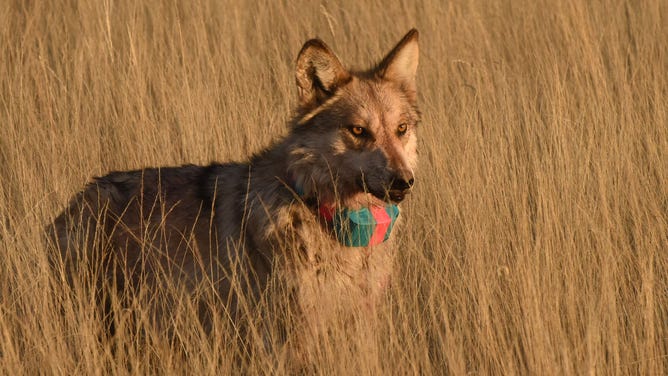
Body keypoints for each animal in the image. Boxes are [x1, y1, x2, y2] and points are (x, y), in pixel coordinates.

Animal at [49, 30, 420, 356]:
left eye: (401, 129)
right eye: (358, 130)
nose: (404, 181)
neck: (324, 214)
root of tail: (71, 205)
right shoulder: (289, 339)